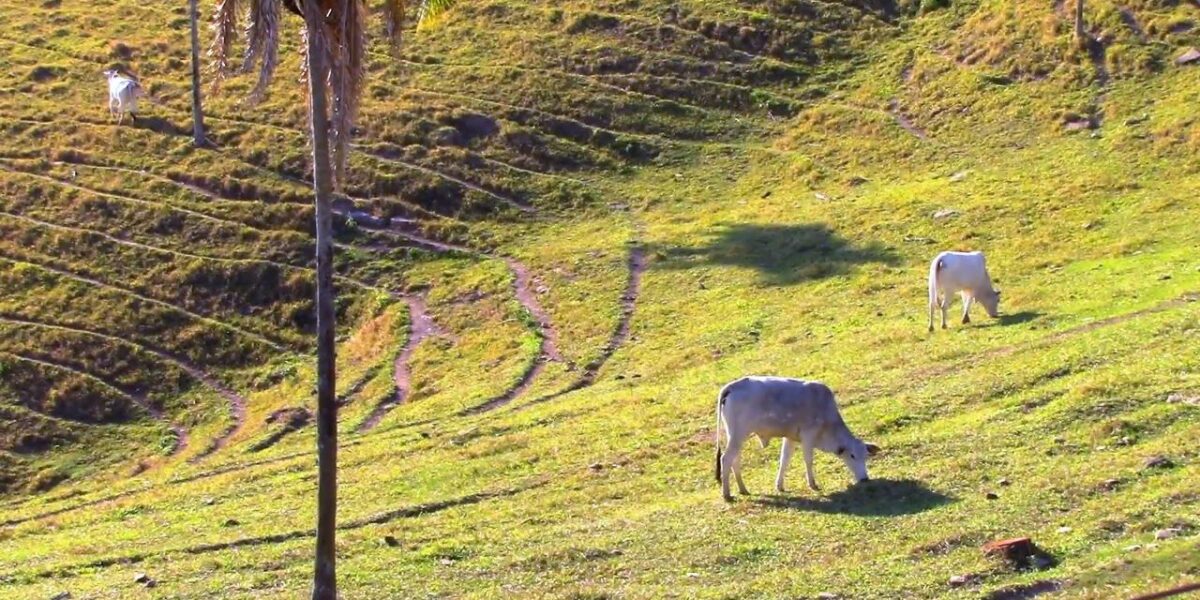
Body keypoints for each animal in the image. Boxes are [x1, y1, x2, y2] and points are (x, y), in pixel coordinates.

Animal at [710, 379, 883, 501]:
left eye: (866, 456)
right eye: (852, 456)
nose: (865, 479)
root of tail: (733, 386)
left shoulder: (790, 438)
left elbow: (784, 460)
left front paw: (780, 486)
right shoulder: (808, 435)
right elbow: (808, 460)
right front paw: (813, 484)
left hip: (735, 435)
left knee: (735, 460)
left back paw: (743, 489)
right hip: (738, 434)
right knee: (726, 459)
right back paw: (727, 494)